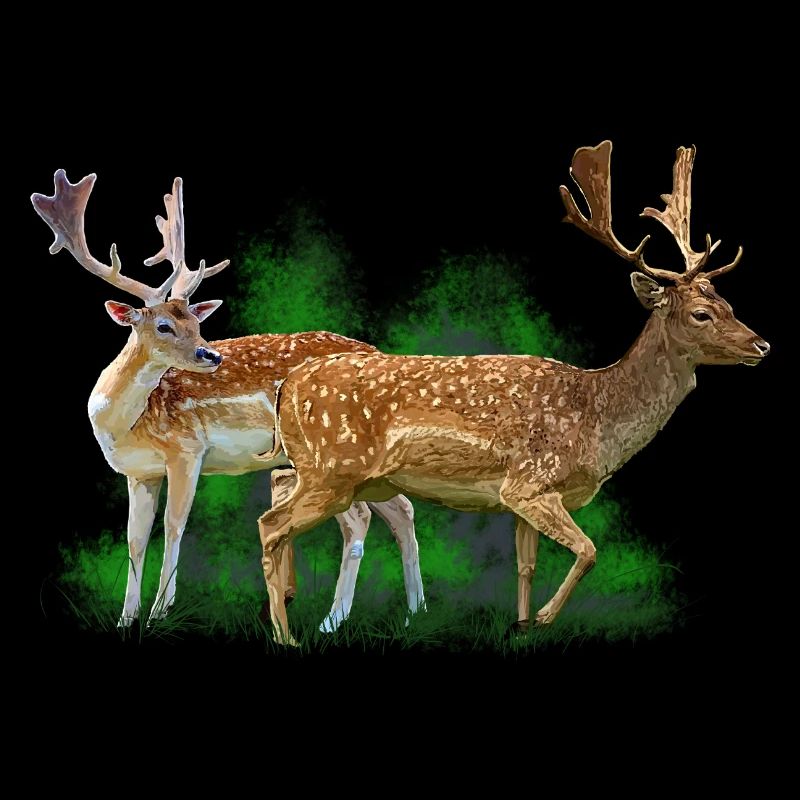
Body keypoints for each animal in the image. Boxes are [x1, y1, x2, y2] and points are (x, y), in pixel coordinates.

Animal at [31, 170, 425, 631]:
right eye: (164, 325)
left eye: (197, 322)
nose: (211, 355)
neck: (122, 425)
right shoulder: (138, 472)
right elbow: (134, 539)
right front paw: (126, 619)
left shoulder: (187, 450)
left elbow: (174, 526)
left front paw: (160, 611)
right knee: (402, 508)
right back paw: (415, 612)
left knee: (360, 519)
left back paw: (334, 620)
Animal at [255, 140, 770, 644]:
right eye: (701, 314)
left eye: (729, 304)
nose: (761, 345)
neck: (597, 418)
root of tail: (288, 386)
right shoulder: (529, 481)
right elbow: (589, 550)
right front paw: (541, 619)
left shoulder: (520, 499)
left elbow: (527, 566)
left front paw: (519, 626)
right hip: (332, 471)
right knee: (270, 526)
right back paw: (286, 636)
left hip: (328, 472)